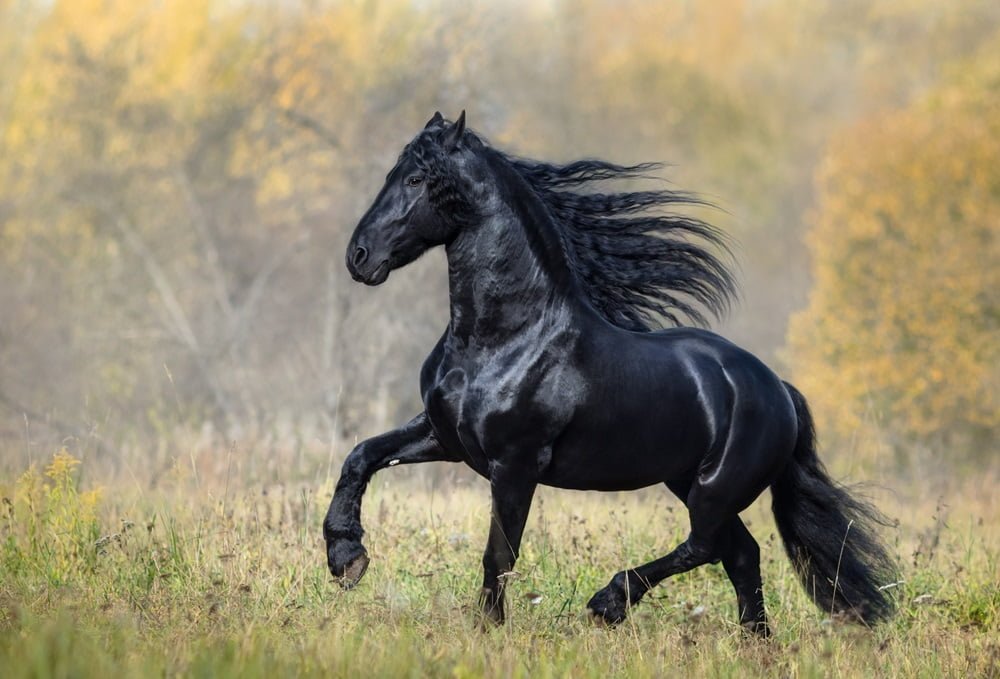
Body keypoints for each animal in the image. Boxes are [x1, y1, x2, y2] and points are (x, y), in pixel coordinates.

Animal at [322, 111, 898, 634]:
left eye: (416, 179)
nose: (358, 256)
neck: (505, 337)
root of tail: (779, 389)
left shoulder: (515, 464)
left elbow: (499, 554)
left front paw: (489, 630)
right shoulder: (445, 436)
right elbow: (361, 457)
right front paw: (346, 557)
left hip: (714, 487)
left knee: (708, 545)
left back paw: (610, 603)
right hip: (686, 479)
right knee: (740, 553)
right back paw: (754, 643)